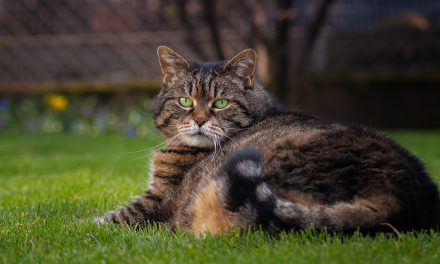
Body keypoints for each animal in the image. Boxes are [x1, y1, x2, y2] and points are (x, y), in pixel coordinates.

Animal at [99, 46, 440, 236]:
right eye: (185, 101)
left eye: (220, 103)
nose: (199, 120)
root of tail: (404, 194)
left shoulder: (156, 201)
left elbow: (101, 222)